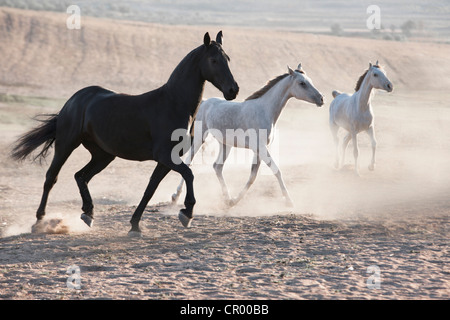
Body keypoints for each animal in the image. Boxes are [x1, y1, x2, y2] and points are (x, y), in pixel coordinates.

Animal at [11, 31, 239, 235]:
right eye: (213, 60)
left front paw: (135, 225)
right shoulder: (166, 156)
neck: (173, 104)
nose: (233, 90)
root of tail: (75, 99)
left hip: (103, 155)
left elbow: (150, 189)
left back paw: (88, 214)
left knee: (81, 176)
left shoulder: (165, 160)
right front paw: (187, 213)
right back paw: (39, 222)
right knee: (52, 177)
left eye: (227, 59)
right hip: (67, 145)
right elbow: (189, 174)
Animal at [171, 63, 324, 206]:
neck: (264, 110)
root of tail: (204, 102)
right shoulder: (261, 148)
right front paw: (289, 201)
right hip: (199, 138)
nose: (321, 98)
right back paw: (175, 196)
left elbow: (252, 177)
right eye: (302, 83)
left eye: (309, 80)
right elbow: (276, 170)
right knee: (189, 161)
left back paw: (227, 198)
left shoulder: (259, 150)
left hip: (225, 144)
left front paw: (234, 201)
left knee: (217, 167)